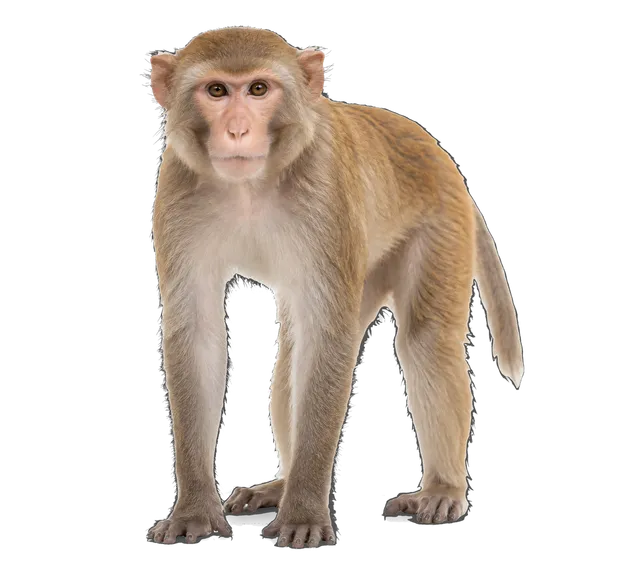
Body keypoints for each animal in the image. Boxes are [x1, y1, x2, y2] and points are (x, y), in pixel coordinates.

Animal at [146, 26, 524, 548]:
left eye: (258, 89)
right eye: (217, 90)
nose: (238, 130)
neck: (249, 186)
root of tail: (442, 156)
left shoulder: (325, 192)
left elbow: (327, 341)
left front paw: (304, 513)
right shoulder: (177, 193)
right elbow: (198, 335)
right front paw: (194, 512)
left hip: (440, 224)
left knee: (424, 340)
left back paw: (441, 490)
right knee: (293, 353)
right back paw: (281, 486)